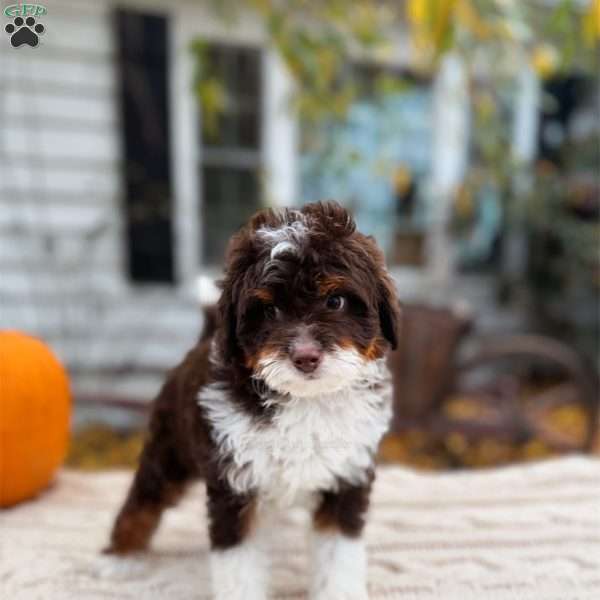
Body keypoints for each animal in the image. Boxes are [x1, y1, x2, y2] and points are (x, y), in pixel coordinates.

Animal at [105, 203, 400, 600]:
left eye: (335, 301)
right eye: (269, 311)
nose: (306, 357)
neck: (305, 400)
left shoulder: (346, 478)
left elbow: (338, 557)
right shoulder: (233, 484)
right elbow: (239, 565)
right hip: (170, 450)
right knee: (145, 497)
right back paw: (121, 555)